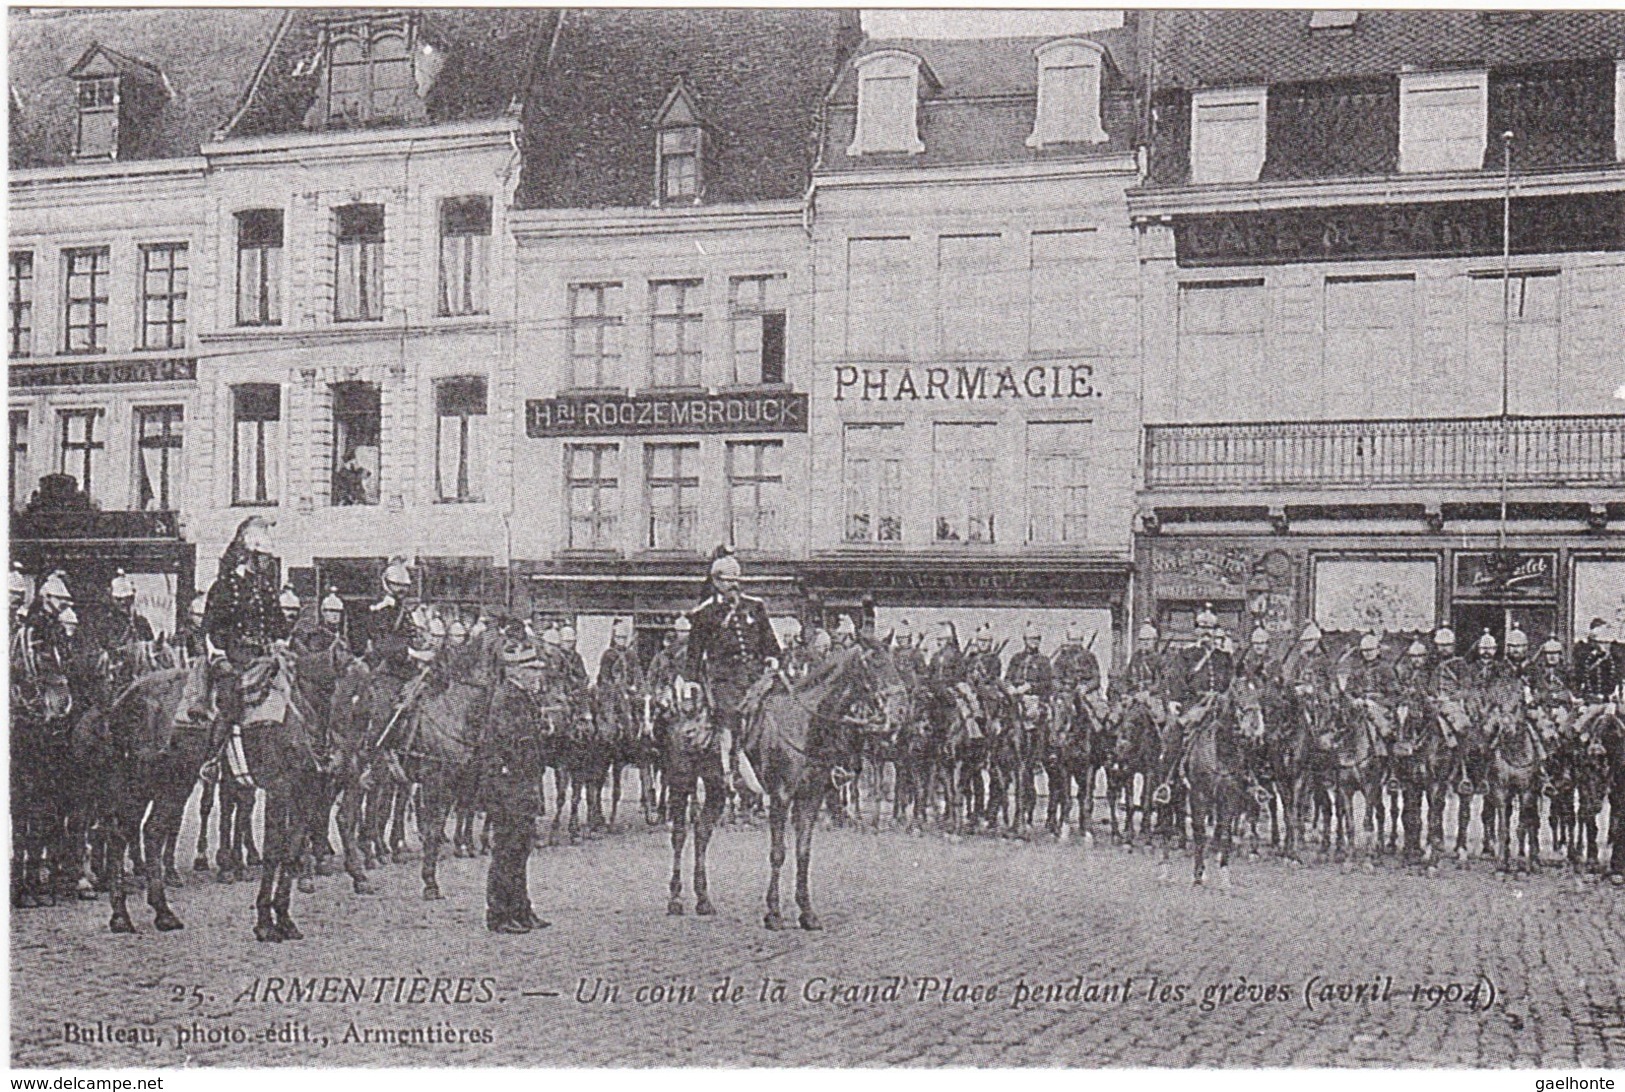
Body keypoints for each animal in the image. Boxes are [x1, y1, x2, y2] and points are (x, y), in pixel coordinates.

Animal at [741, 640, 910, 929]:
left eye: (894, 662)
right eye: (876, 663)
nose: (900, 711)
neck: (802, 726)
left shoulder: (810, 796)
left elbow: (803, 853)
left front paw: (807, 912)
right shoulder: (780, 797)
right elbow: (778, 853)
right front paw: (773, 913)